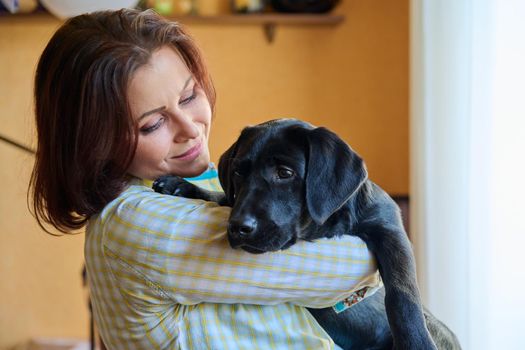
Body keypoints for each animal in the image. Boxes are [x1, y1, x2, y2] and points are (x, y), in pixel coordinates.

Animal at [154, 119, 460, 348]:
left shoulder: (389, 227)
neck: (323, 227)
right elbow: (223, 198)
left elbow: (401, 293)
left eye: (285, 173)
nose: (239, 227)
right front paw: (183, 186)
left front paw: (416, 343)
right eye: (239, 173)